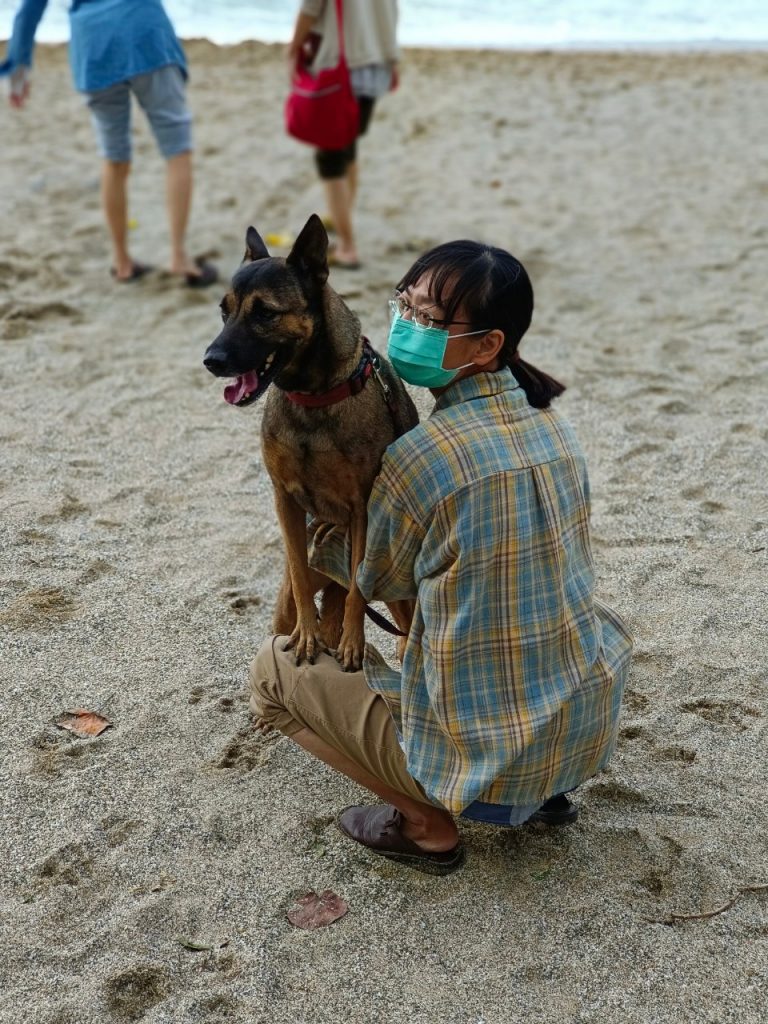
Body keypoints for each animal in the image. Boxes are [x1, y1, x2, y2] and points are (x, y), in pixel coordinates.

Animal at [202, 211, 421, 667]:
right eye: (224, 311)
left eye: (265, 313)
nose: (211, 361)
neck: (313, 398)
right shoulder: (285, 501)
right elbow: (301, 580)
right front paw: (307, 634)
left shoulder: (361, 509)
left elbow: (358, 592)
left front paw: (352, 642)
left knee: (399, 618)